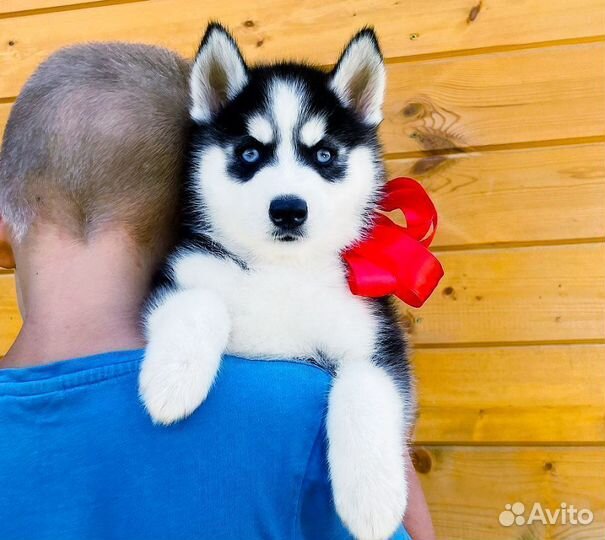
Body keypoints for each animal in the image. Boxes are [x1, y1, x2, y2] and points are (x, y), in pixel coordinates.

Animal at [140, 23, 416, 536]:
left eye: (324, 154)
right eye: (250, 152)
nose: (288, 209)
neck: (282, 271)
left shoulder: (375, 339)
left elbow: (364, 388)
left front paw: (372, 499)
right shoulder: (180, 274)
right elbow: (201, 301)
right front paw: (173, 380)